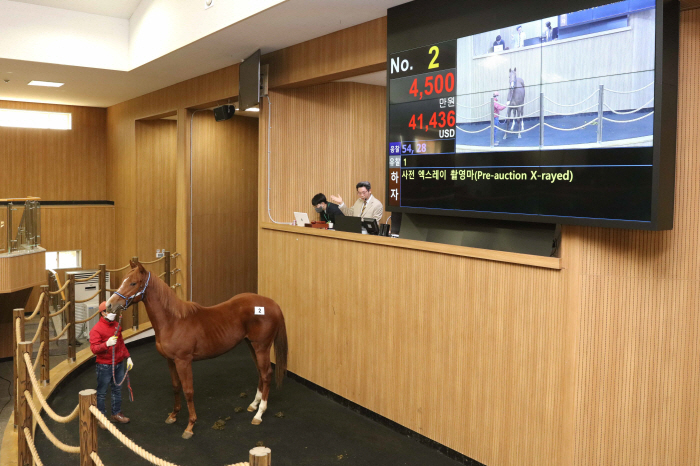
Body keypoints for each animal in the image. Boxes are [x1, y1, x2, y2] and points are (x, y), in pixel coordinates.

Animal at [106, 260, 288, 438]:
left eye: (133, 283)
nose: (109, 305)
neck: (172, 321)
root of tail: (273, 304)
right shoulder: (170, 361)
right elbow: (176, 387)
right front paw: (173, 415)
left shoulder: (183, 361)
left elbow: (188, 391)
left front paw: (190, 425)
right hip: (251, 345)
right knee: (260, 373)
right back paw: (253, 404)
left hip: (262, 347)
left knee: (266, 374)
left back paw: (259, 414)